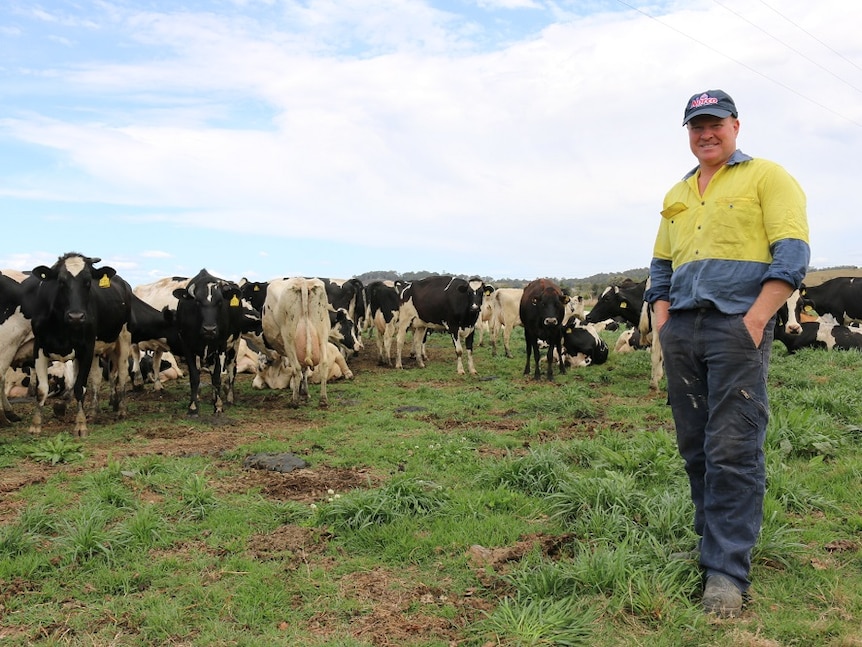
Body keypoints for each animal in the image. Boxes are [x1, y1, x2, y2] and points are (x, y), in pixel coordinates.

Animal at [20, 252, 133, 436]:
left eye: (88, 282)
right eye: (61, 281)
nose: (76, 316)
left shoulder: (85, 349)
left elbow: (80, 388)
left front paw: (80, 424)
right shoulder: (39, 348)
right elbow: (42, 389)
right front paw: (35, 425)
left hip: (123, 337)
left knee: (122, 374)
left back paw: (121, 410)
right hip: (97, 350)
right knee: (96, 379)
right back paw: (93, 412)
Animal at [170, 268, 248, 416]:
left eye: (220, 302)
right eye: (197, 302)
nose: (210, 329)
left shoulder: (221, 345)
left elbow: (217, 377)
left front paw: (218, 406)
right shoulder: (187, 346)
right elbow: (195, 376)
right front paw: (193, 406)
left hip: (235, 342)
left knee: (231, 369)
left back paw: (229, 399)